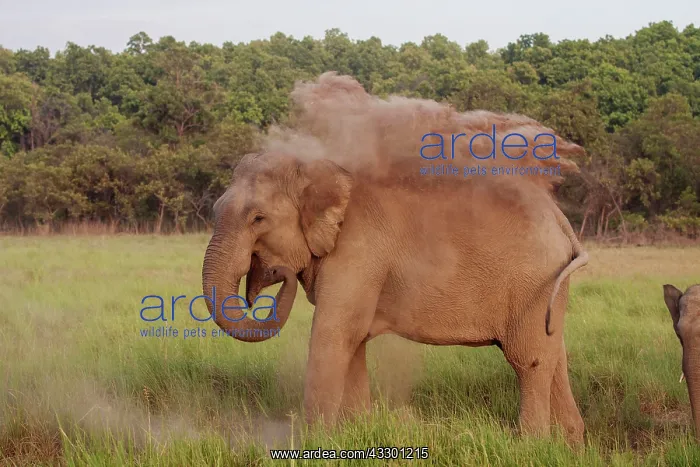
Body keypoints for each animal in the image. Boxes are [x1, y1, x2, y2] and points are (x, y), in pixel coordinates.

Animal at [201, 151, 589, 443]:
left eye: (258, 218)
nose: (273, 273)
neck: (317, 169)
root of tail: (560, 218)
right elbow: (353, 342)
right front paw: (357, 431)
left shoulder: (358, 252)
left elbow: (332, 335)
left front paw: (314, 444)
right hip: (549, 288)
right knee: (554, 355)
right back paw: (570, 444)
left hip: (532, 284)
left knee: (528, 360)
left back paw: (531, 444)